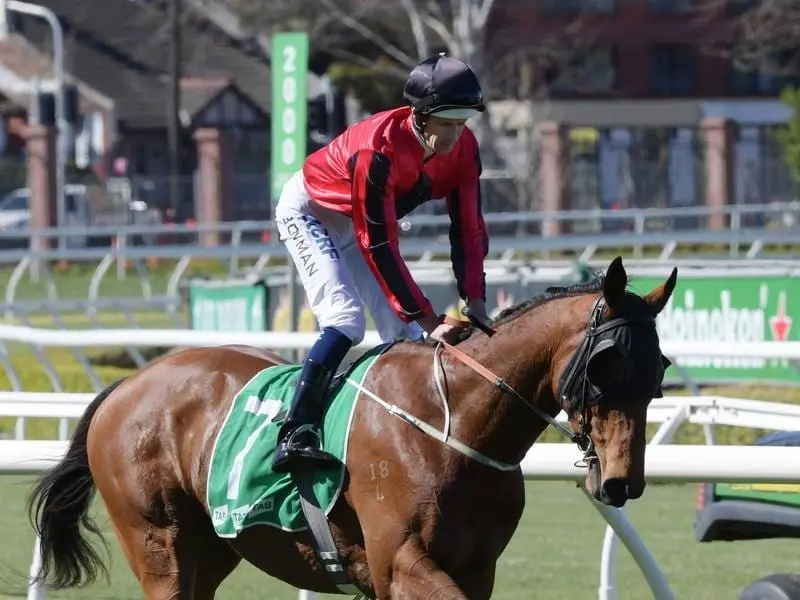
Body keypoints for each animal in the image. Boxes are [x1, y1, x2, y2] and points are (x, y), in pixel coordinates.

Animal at [25, 256, 676, 600]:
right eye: (606, 367)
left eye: (659, 371)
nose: (621, 483)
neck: (457, 426)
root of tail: (125, 387)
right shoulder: (399, 563)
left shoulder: (477, 568)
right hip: (159, 544)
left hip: (211, 550)